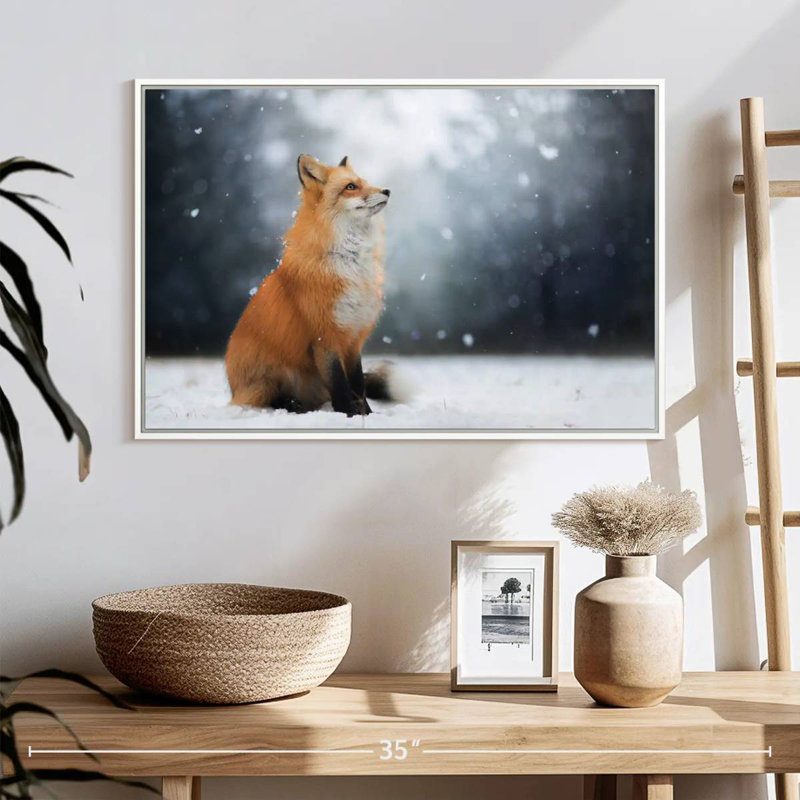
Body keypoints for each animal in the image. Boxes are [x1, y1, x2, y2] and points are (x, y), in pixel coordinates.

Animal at [225, 154, 393, 416]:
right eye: (351, 187)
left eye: (364, 182)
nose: (387, 190)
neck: (350, 262)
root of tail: (233, 390)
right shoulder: (325, 337)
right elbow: (340, 385)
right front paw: (348, 415)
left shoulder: (353, 337)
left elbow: (358, 384)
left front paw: (367, 415)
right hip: (269, 379)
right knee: (270, 399)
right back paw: (292, 405)